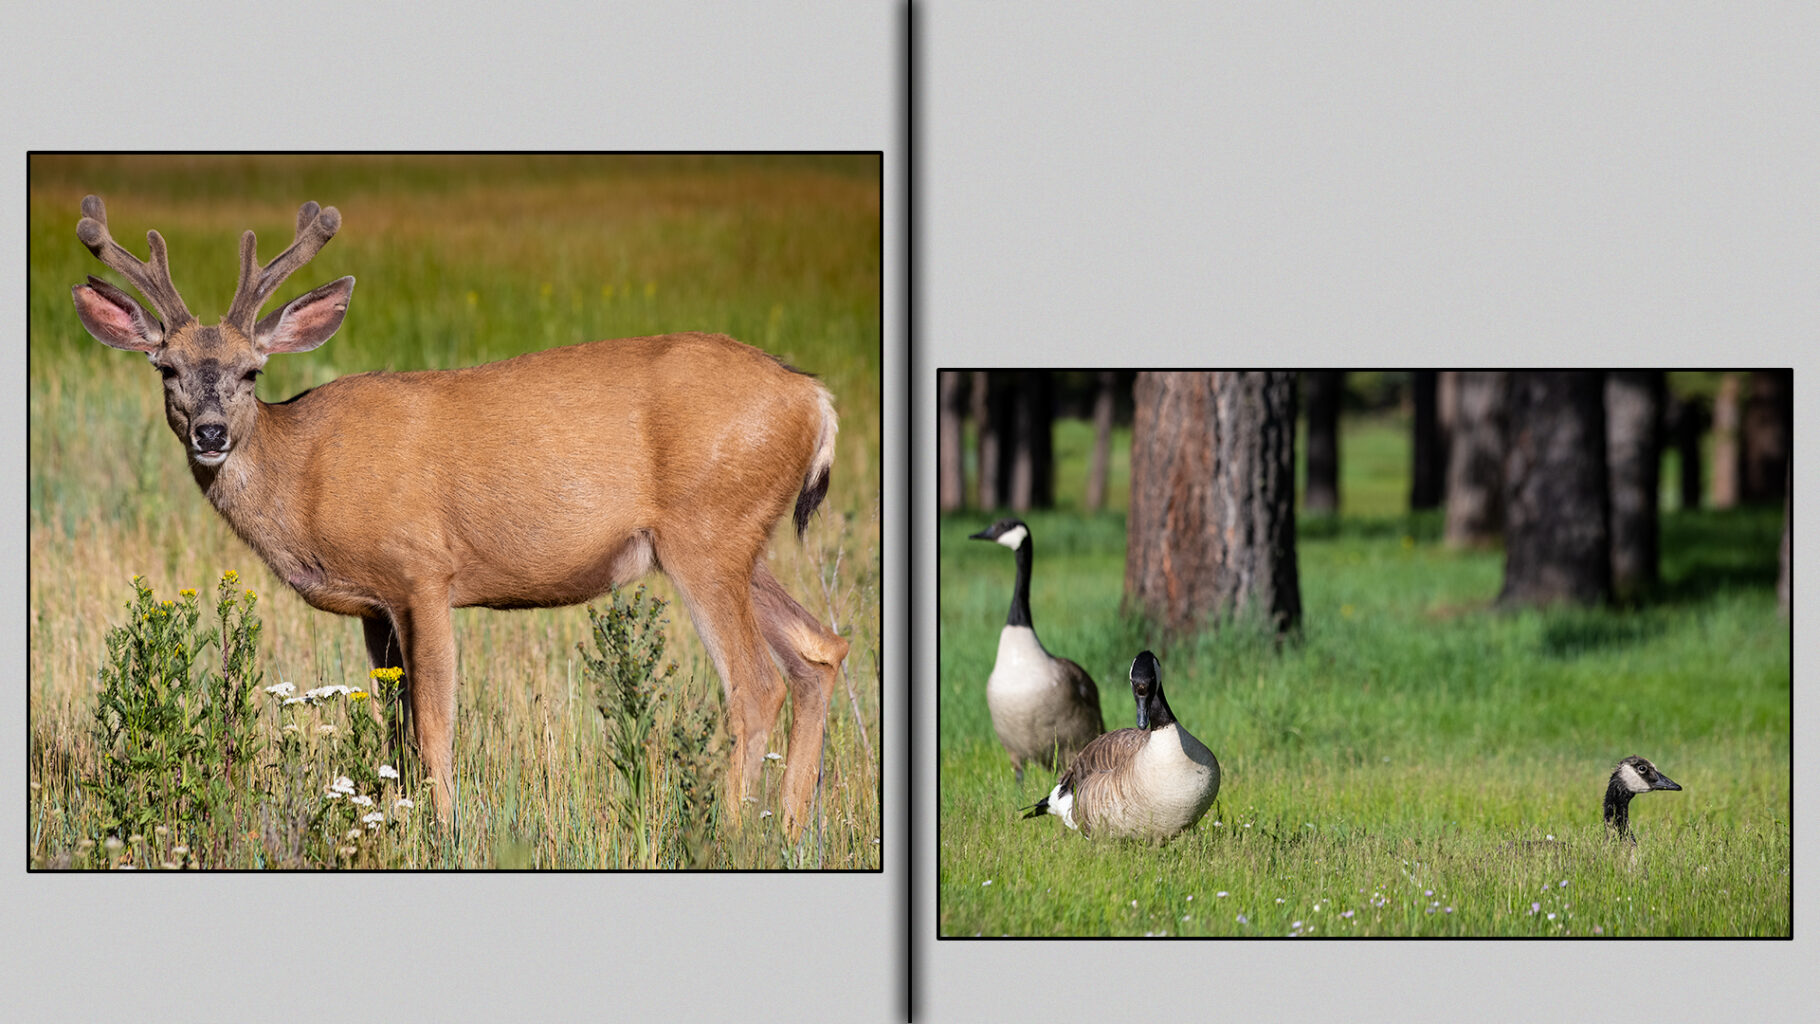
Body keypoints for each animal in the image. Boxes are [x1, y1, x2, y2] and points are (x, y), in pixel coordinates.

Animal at [68, 195, 850, 836]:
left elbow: (434, 723)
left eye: (251, 372)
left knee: (757, 683)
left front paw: (444, 830)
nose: (209, 433)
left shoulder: (422, 570)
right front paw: (393, 817)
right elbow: (390, 725)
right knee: (820, 650)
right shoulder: (374, 607)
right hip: (741, 540)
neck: (305, 474)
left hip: (707, 533)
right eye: (166, 368)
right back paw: (788, 831)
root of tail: (814, 400)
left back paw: (729, 832)